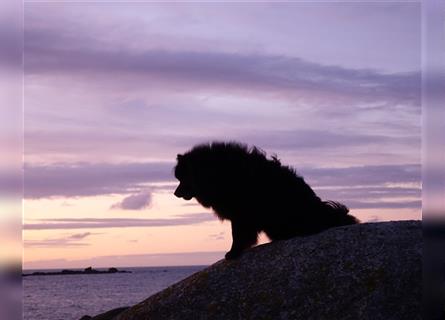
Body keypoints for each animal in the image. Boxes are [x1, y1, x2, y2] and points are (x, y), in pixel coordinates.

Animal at [173, 142, 358, 260]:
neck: (219, 174)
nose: (175, 193)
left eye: (182, 179)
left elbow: (238, 236)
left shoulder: (241, 215)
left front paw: (233, 253)